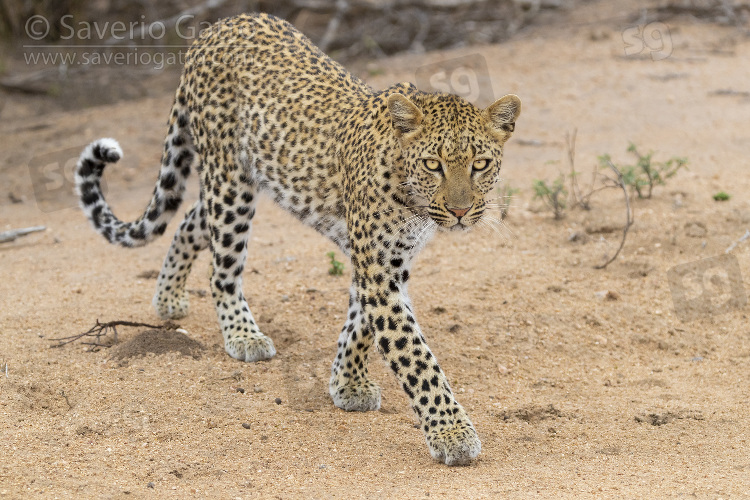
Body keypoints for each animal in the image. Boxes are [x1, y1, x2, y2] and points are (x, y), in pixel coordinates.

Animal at [76, 11, 524, 464]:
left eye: (480, 164)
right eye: (433, 165)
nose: (461, 211)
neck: (410, 193)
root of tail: (221, 25)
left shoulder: (387, 263)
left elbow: (359, 325)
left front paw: (347, 383)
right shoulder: (378, 270)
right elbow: (416, 358)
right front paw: (452, 433)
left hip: (230, 184)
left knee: (189, 220)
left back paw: (168, 297)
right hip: (230, 181)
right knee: (221, 268)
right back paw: (242, 334)